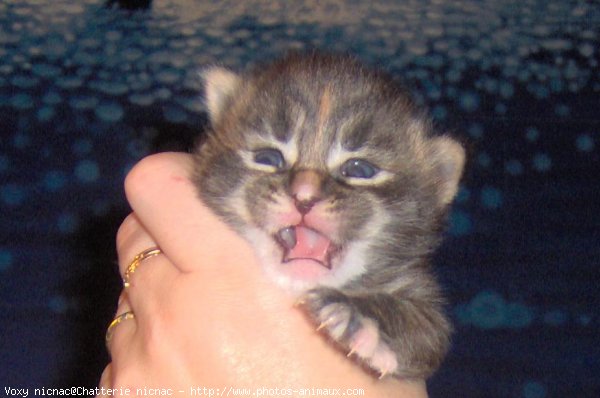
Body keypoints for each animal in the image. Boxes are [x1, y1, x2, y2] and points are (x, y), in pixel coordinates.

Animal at [192, 52, 464, 380]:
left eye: (359, 169)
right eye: (268, 158)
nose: (304, 195)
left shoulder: (421, 293)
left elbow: (427, 327)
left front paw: (356, 316)